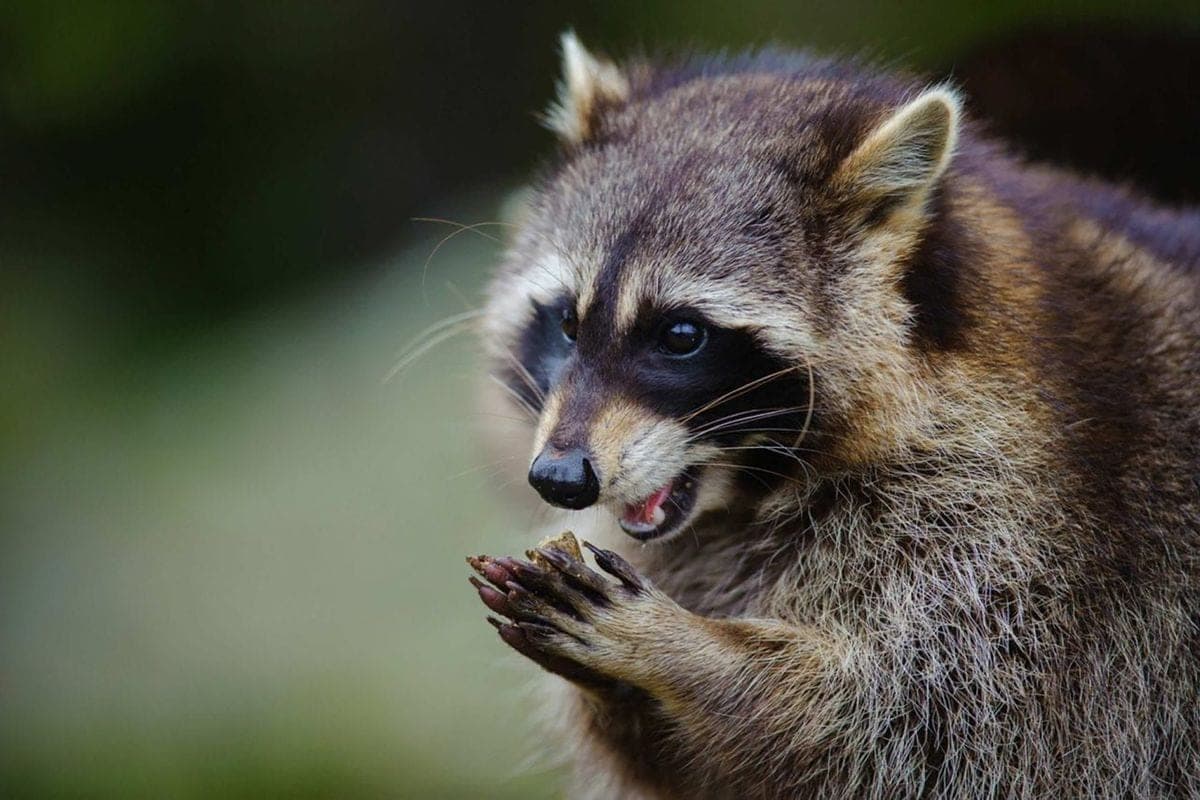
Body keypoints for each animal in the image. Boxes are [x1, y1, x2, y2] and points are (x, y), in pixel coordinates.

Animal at [467, 33, 1200, 800]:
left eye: (681, 335)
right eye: (567, 323)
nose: (560, 478)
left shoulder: (1029, 545)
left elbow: (903, 731)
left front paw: (682, 650)